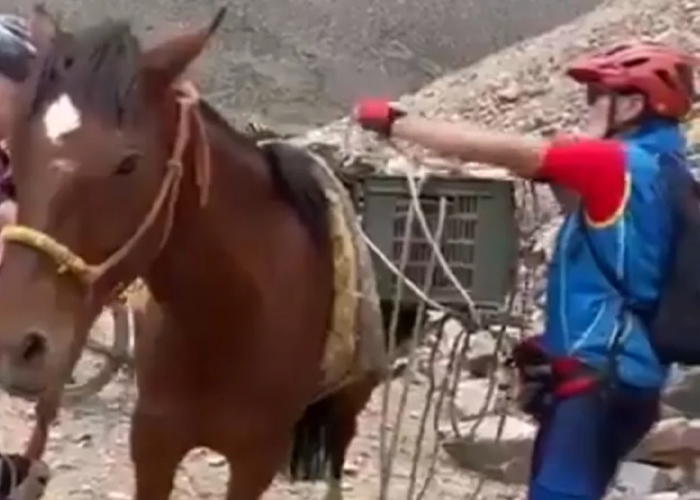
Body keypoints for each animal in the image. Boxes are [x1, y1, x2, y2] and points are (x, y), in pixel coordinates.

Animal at [0, 7, 388, 500]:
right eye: (15, 150)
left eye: (129, 163)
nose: (18, 347)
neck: (229, 316)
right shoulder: (154, 443)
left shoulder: (255, 462)